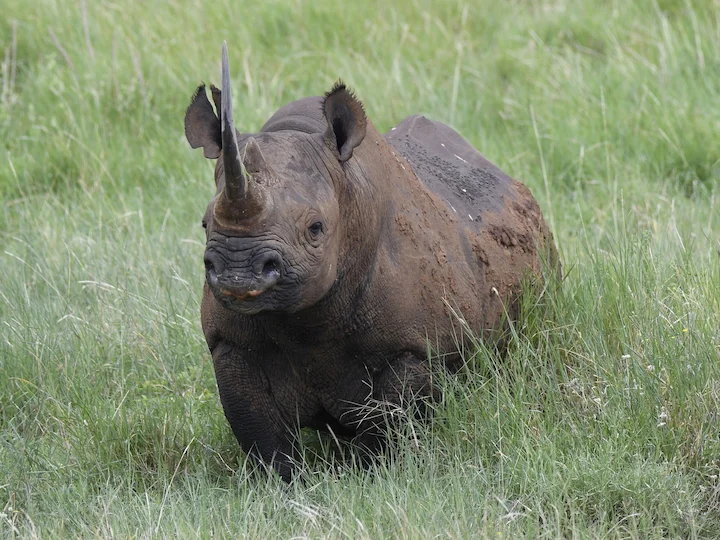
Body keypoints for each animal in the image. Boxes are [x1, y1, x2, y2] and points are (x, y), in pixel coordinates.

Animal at [184, 43, 558, 481]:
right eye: (205, 223)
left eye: (315, 228)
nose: (239, 273)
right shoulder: (229, 341)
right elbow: (261, 435)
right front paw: (285, 484)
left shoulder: (414, 347)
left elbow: (389, 422)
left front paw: (369, 474)